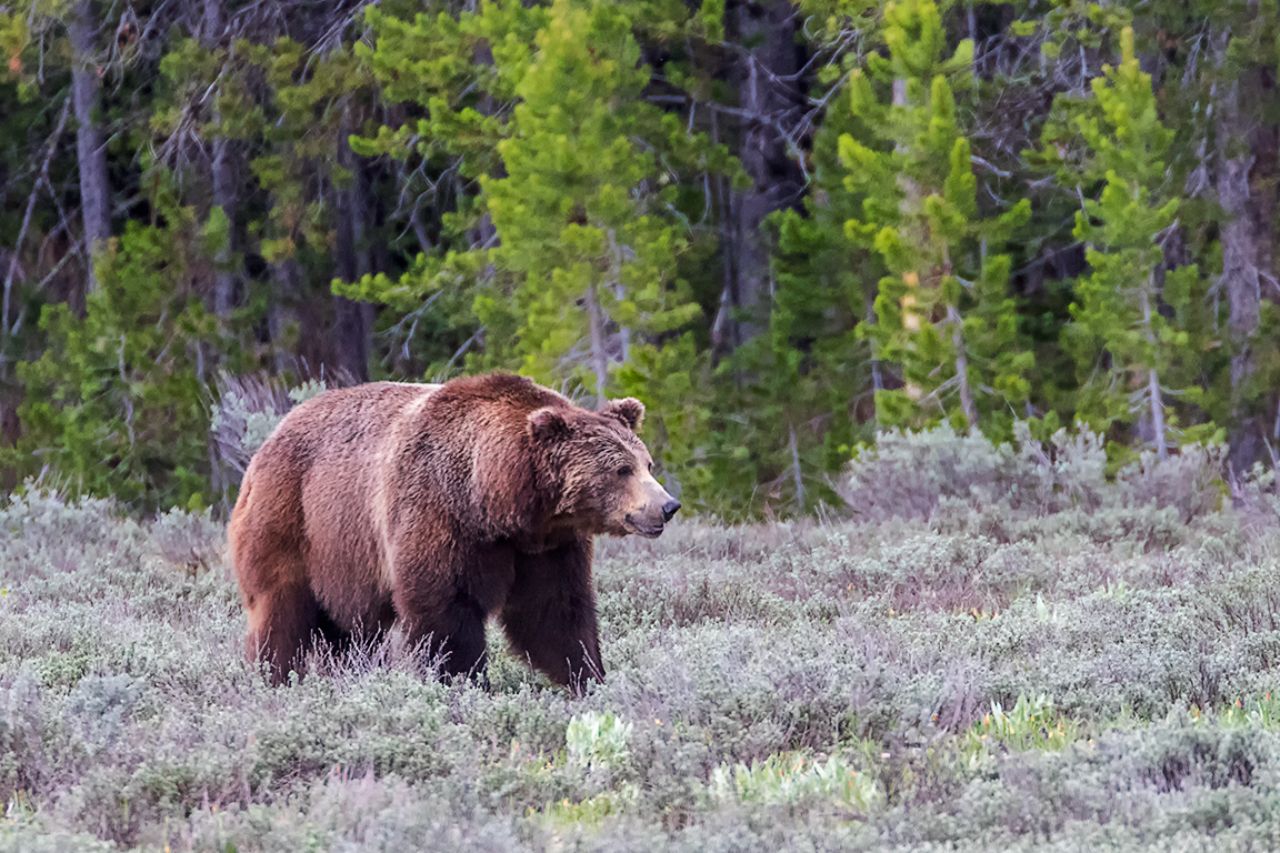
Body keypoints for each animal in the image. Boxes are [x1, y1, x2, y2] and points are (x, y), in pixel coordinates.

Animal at [227, 372, 679, 690]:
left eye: (646, 463)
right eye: (621, 470)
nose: (668, 506)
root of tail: (266, 443)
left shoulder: (546, 548)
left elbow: (556, 613)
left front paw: (588, 678)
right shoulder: (439, 515)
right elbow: (445, 611)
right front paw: (464, 681)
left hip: (342, 561)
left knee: (349, 631)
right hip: (293, 521)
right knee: (281, 612)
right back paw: (274, 677)